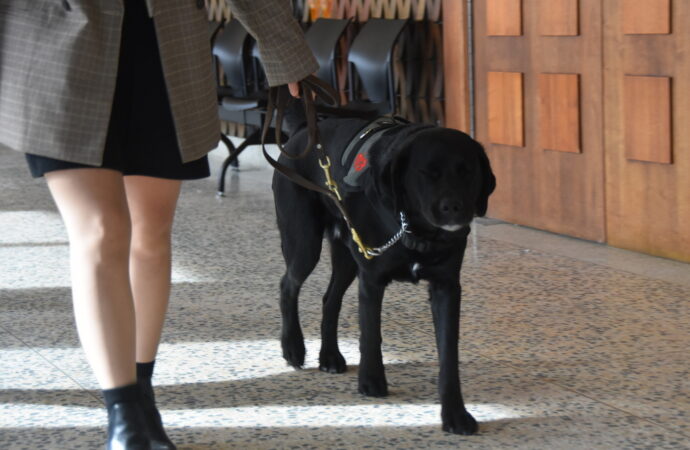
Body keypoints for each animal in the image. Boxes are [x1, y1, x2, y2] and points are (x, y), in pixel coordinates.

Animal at [272, 110, 492, 436]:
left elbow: (448, 354)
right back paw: (293, 346)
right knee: (288, 285)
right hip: (305, 244)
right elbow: (371, 333)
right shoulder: (372, 280)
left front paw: (454, 413)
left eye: (467, 172)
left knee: (330, 299)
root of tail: (303, 131)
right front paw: (371, 380)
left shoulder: (447, 287)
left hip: (347, 254)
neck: (414, 230)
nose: (454, 207)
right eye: (427, 173)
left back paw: (330, 356)